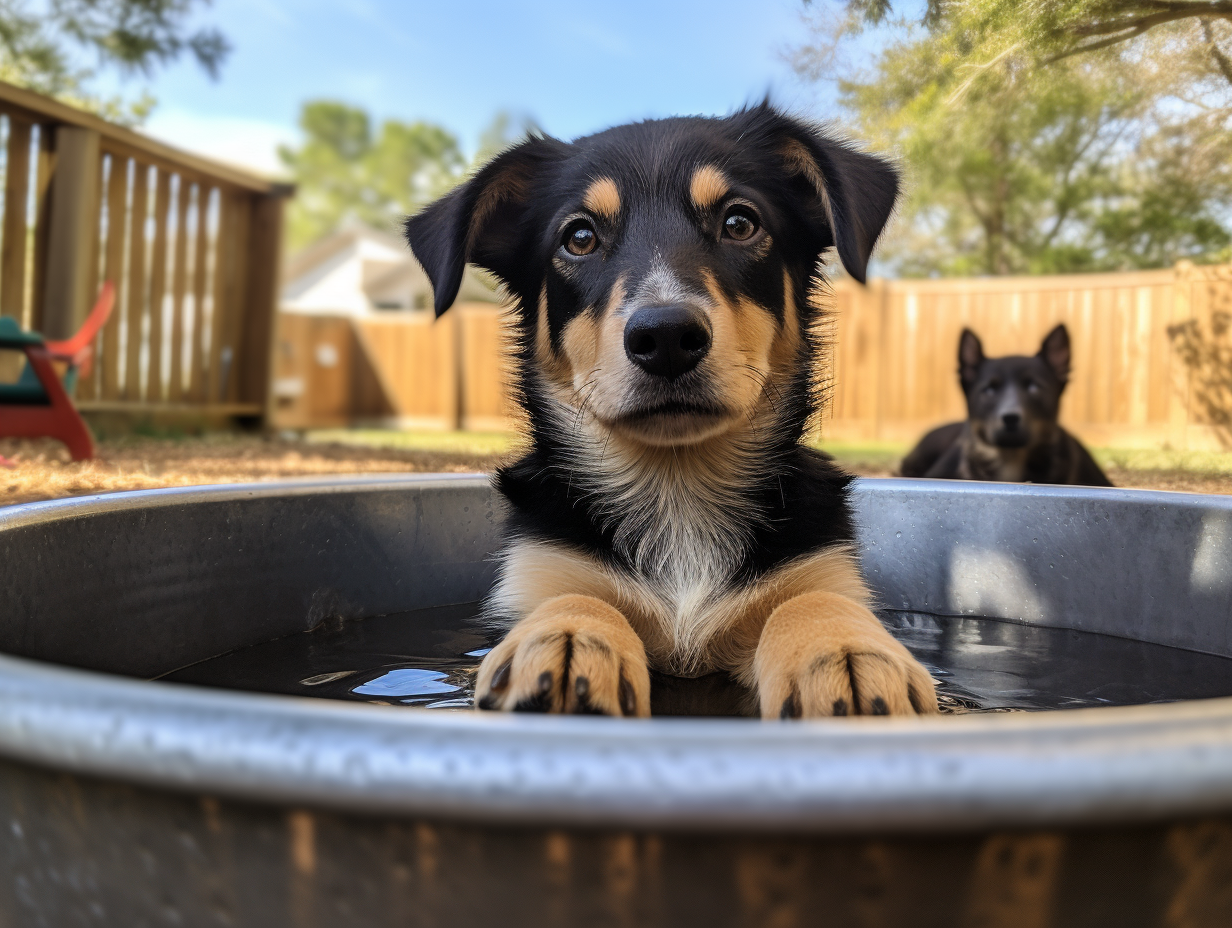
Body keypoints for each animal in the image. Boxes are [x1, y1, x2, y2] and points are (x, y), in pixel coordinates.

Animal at [404, 104, 931, 719]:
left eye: (740, 223)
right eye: (578, 237)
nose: (667, 337)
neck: (677, 486)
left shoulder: (820, 567)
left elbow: (811, 598)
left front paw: (841, 650)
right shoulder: (542, 568)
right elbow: (575, 592)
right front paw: (568, 636)